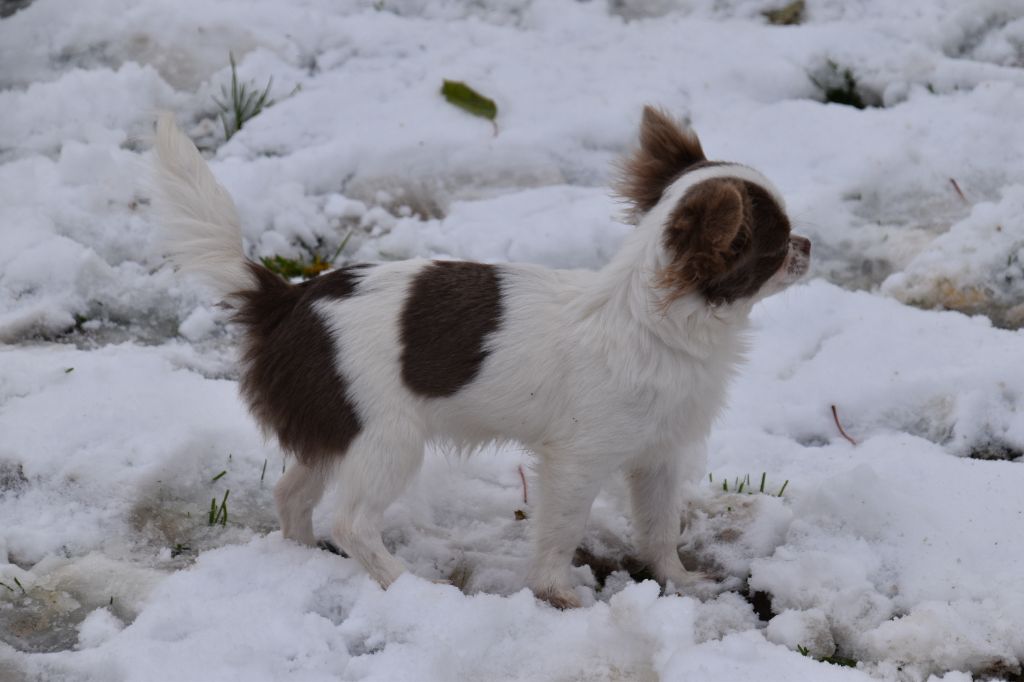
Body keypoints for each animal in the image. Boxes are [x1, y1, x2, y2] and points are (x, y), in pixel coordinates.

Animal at [149, 106, 806, 606]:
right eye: (775, 246)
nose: (806, 245)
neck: (653, 321)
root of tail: (287, 299)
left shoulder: (659, 455)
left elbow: (660, 527)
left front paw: (681, 582)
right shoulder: (577, 461)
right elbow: (561, 530)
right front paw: (558, 593)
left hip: (340, 429)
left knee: (292, 494)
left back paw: (302, 559)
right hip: (387, 439)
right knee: (352, 520)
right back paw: (406, 585)